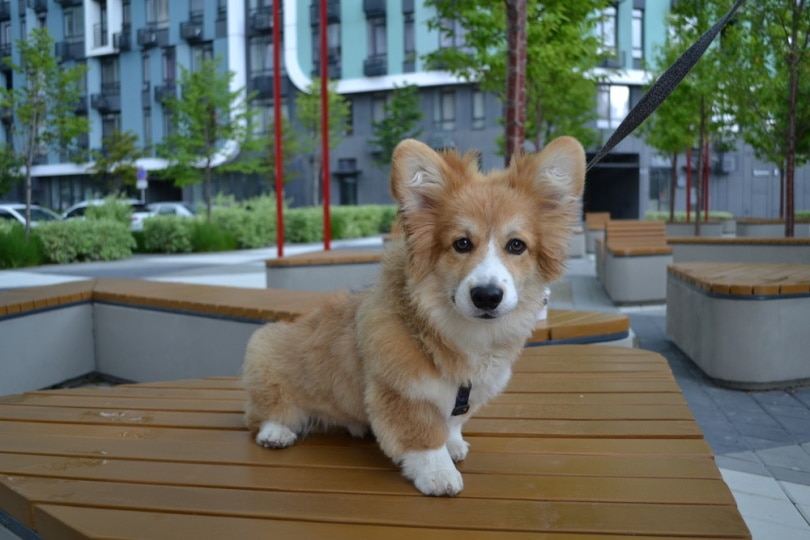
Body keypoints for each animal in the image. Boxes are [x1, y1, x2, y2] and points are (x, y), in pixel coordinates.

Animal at [243, 137, 584, 496]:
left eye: (517, 245)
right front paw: (440, 474)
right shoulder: (402, 393)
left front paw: (454, 445)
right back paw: (276, 432)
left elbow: (452, 424)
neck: (454, 331)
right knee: (266, 412)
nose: (487, 296)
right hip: (265, 351)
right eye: (462, 243)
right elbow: (425, 438)